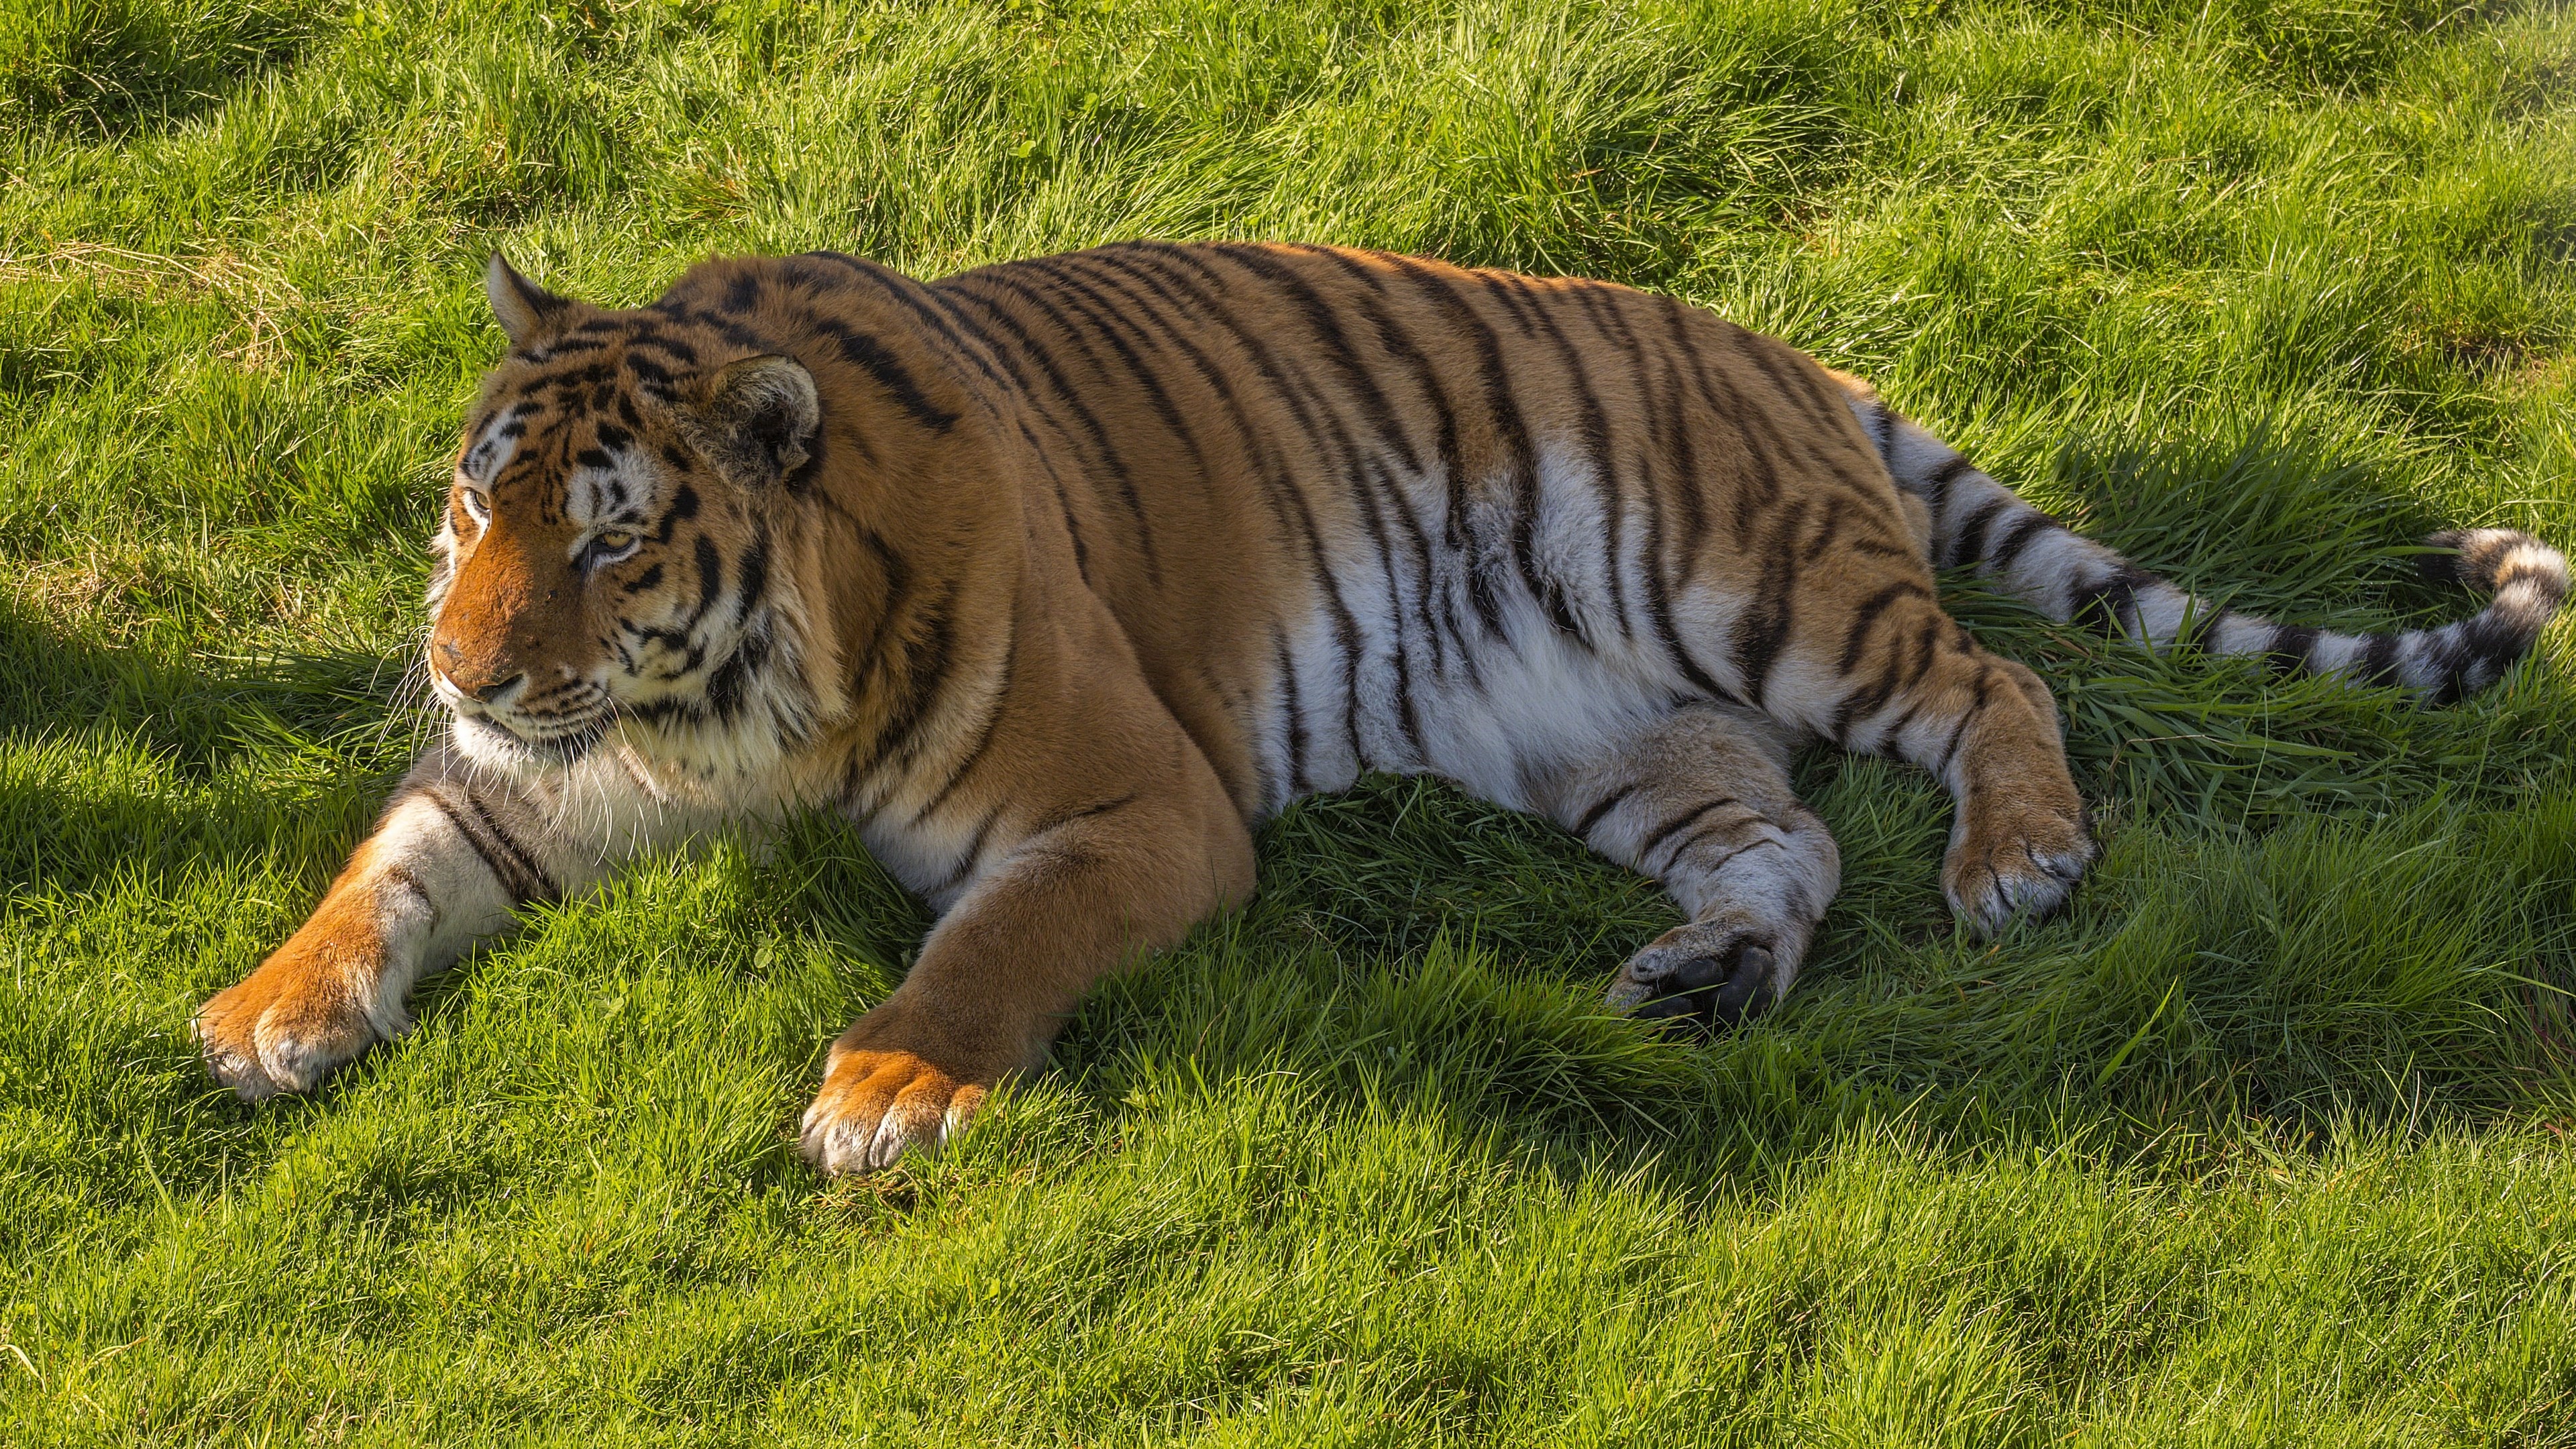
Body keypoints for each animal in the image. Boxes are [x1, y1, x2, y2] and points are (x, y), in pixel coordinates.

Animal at [192, 243, 2568, 1174]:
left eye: (611, 544)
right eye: (475, 504)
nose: (461, 665)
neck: (704, 720)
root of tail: (1787, 356)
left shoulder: (1140, 810)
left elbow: (989, 946)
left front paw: (888, 1085)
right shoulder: (531, 787)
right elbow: (392, 865)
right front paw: (265, 1013)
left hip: (1756, 584)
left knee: (1993, 673)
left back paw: (2017, 858)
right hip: (1604, 733)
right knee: (1784, 832)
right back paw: (1703, 980)